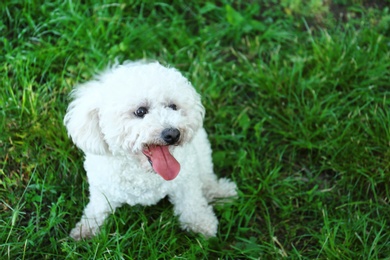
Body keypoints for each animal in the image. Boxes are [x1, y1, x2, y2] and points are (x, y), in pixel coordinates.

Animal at [64, 61, 238, 240]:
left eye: (173, 106)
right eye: (140, 111)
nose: (173, 133)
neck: (145, 174)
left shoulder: (186, 181)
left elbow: (192, 202)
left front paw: (201, 222)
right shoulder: (102, 188)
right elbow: (97, 208)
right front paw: (86, 229)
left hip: (201, 149)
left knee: (206, 176)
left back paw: (219, 191)